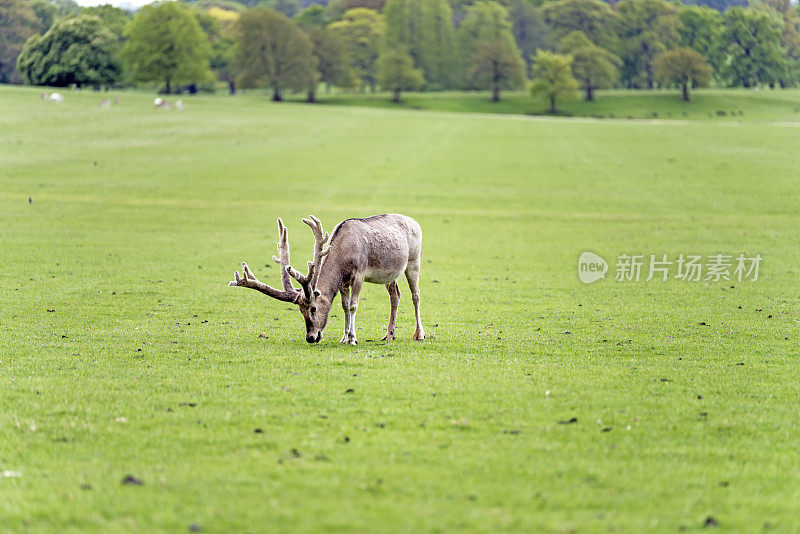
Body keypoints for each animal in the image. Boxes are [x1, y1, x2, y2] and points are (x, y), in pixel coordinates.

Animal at [227, 215, 424, 346]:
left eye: (313, 308)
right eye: (300, 310)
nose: (310, 338)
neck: (343, 255)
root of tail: (416, 223)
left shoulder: (359, 273)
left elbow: (353, 306)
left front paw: (353, 339)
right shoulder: (344, 282)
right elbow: (344, 306)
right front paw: (344, 338)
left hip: (414, 261)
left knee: (415, 295)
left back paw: (419, 334)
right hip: (391, 275)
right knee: (395, 295)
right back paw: (389, 335)